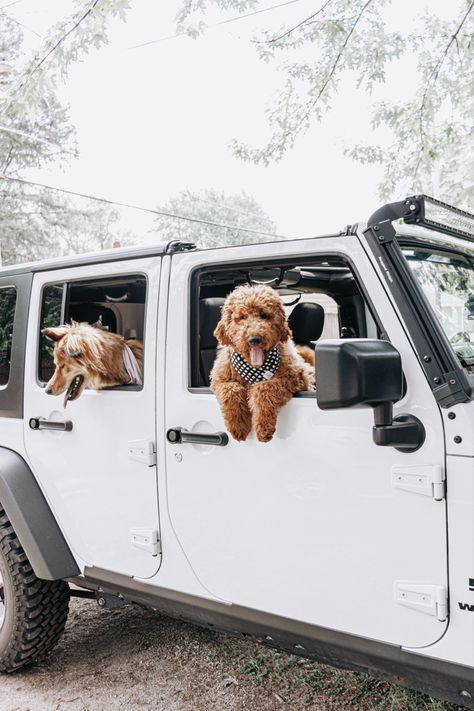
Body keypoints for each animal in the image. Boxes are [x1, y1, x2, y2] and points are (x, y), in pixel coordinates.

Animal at [211, 286, 314, 442]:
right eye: (242, 317)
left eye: (264, 315)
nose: (254, 339)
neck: (254, 368)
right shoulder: (219, 380)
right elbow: (230, 389)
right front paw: (238, 426)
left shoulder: (296, 377)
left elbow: (264, 387)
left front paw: (263, 427)